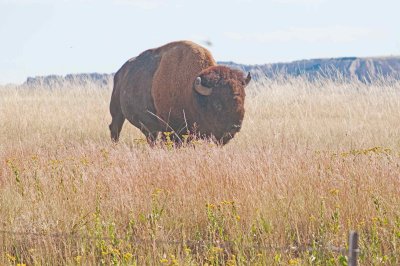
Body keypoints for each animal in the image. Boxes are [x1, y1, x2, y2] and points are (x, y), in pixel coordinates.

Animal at [108, 41, 250, 145]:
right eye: (217, 104)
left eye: (243, 99)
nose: (236, 126)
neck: (191, 92)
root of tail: (120, 72)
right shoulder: (172, 128)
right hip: (116, 112)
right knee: (115, 127)